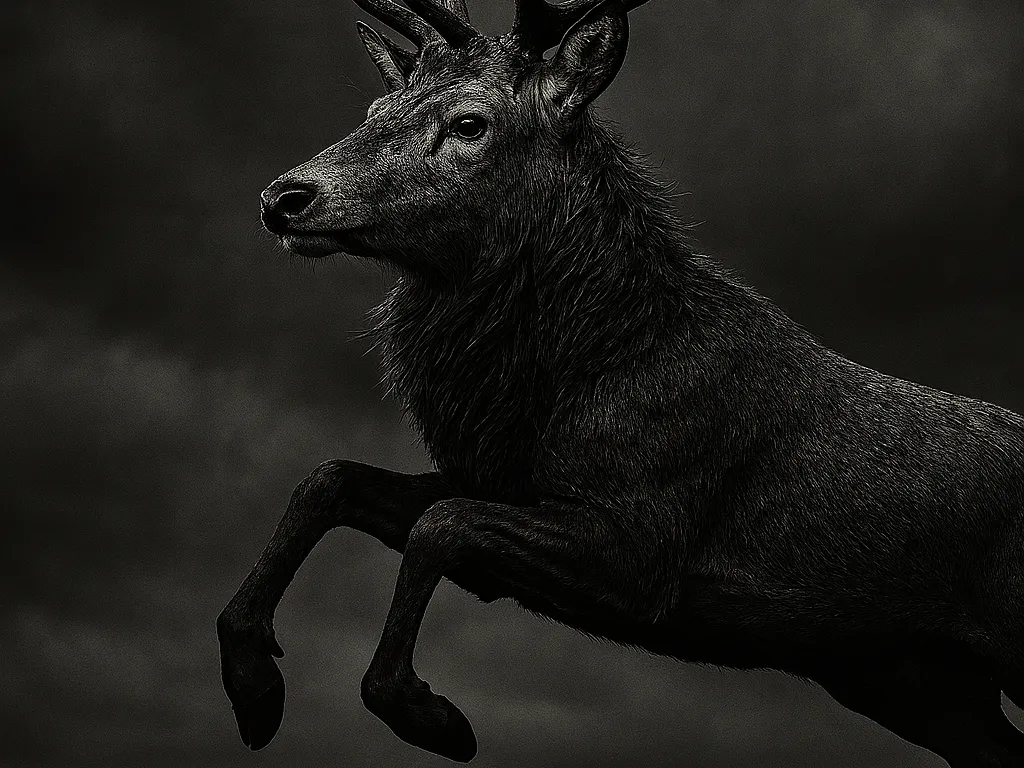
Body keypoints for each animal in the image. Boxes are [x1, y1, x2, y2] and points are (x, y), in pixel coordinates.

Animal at [216, 0, 1024, 765]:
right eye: (374, 110)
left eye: (470, 122)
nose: (285, 196)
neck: (576, 375)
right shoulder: (502, 482)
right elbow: (331, 479)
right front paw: (253, 679)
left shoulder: (643, 544)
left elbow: (440, 525)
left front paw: (426, 712)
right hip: (914, 683)